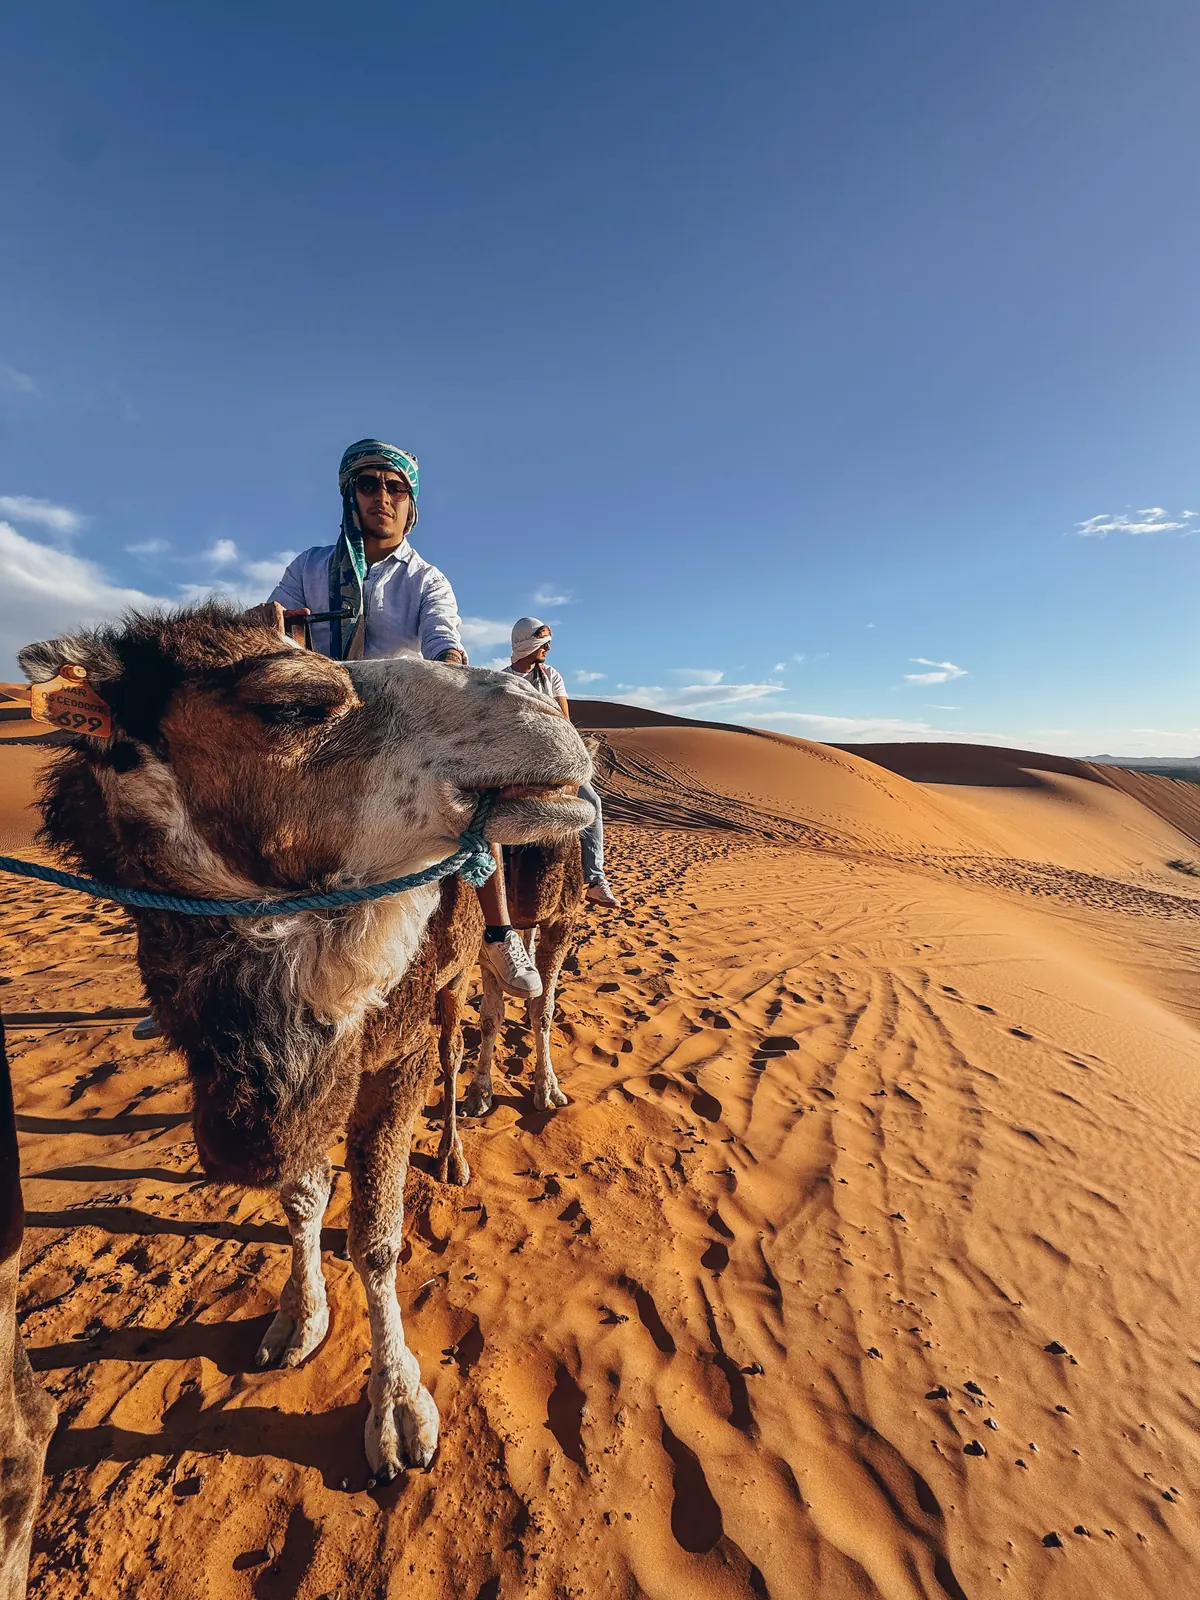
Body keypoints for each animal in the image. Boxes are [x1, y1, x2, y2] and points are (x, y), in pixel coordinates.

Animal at [19, 603, 593, 1480]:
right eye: (292, 703)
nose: (546, 720)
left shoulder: (392, 1052)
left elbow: (379, 1239)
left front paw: (398, 1411)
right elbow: (301, 1193)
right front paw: (298, 1318)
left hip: (534, 922)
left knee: (513, 1007)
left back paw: (503, 1117)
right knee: (495, 1010)